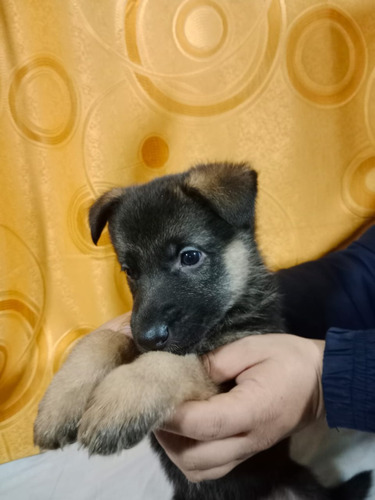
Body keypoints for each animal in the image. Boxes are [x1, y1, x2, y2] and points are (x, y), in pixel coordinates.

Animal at [33, 162, 372, 498]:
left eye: (190, 256)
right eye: (130, 271)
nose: (148, 338)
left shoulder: (225, 379)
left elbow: (179, 361)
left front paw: (121, 401)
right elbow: (105, 337)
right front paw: (58, 406)